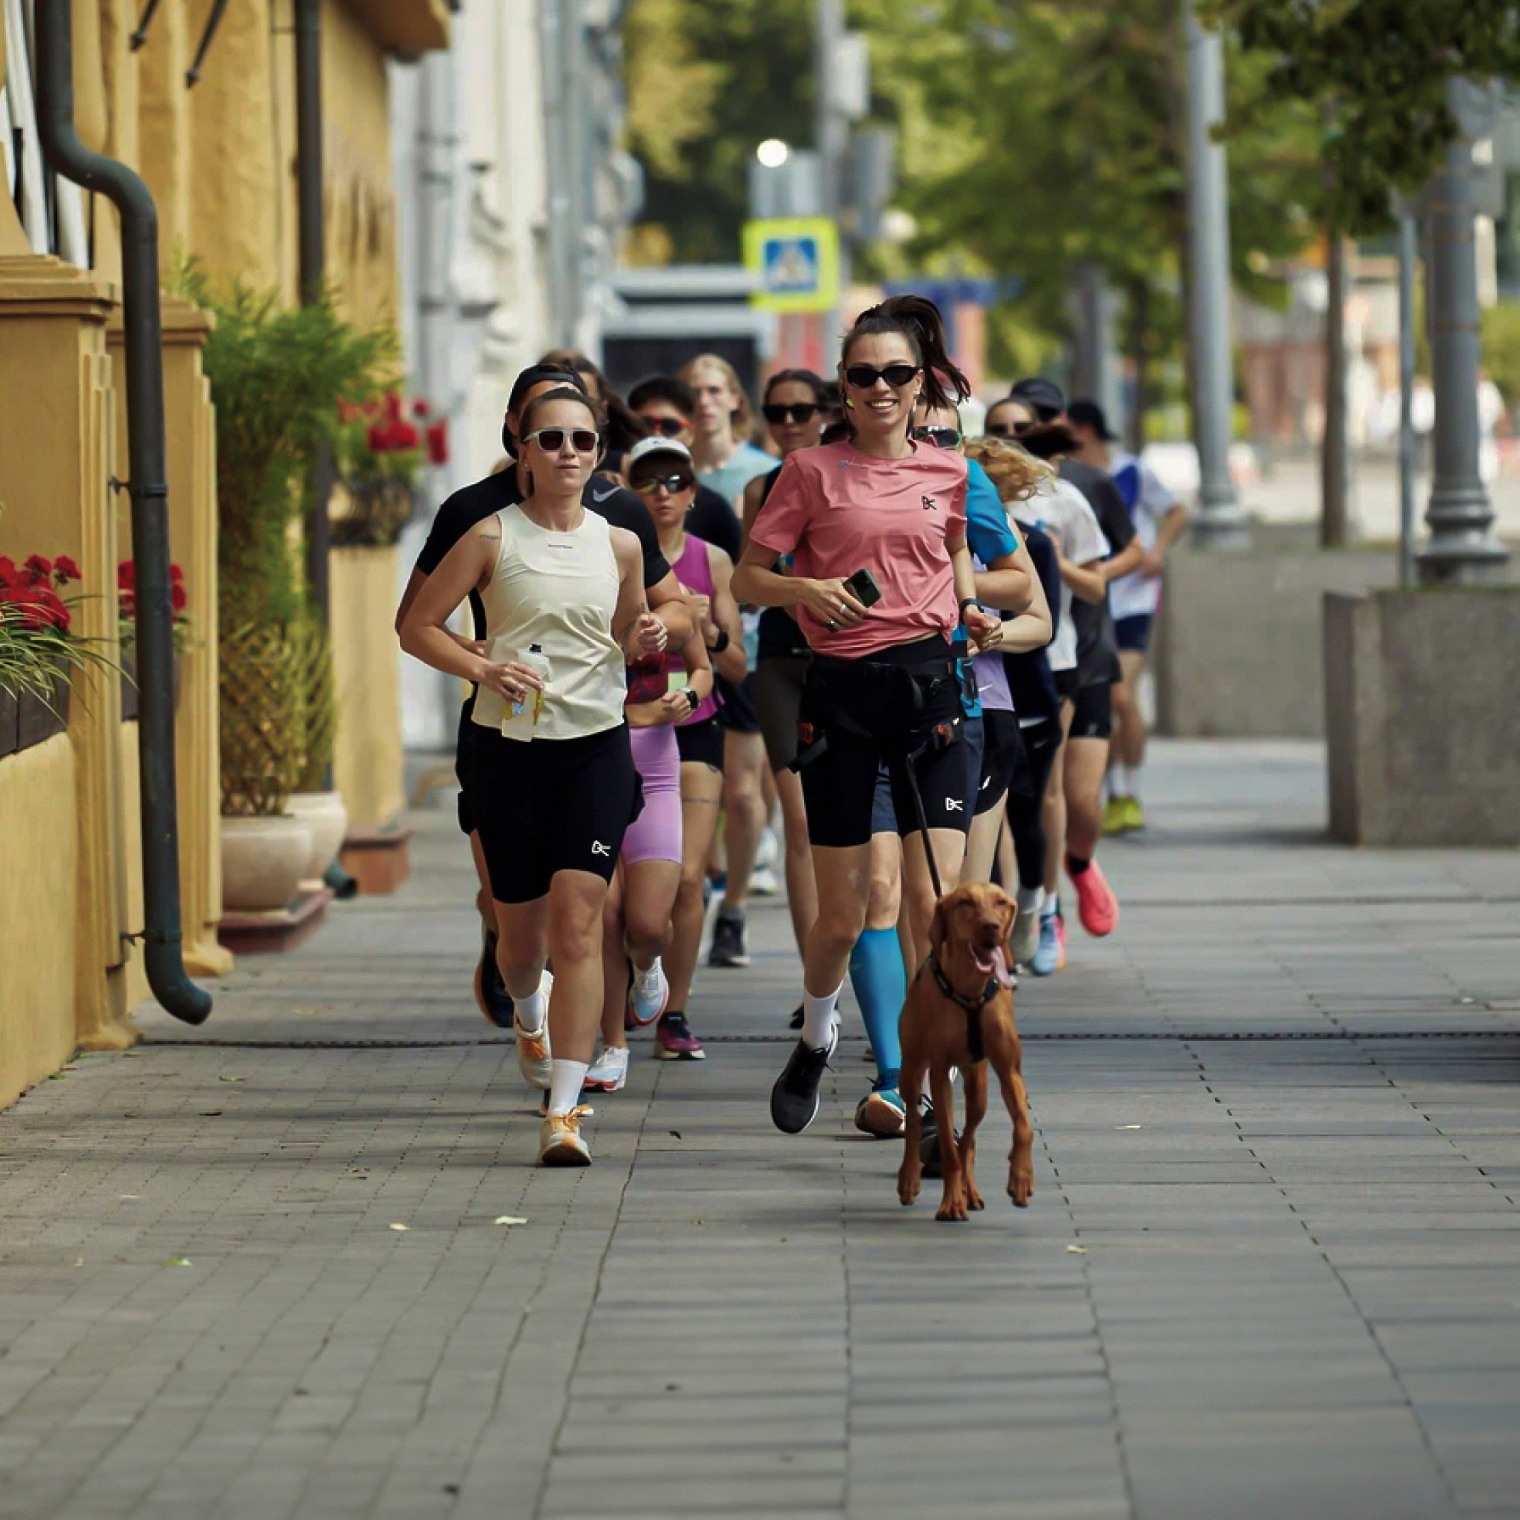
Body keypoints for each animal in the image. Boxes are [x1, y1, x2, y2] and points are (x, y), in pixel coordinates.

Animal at [893, 881, 1039, 1222]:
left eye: (1000, 902)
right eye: (965, 903)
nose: (991, 926)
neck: (972, 990)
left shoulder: (1010, 1071)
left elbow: (1024, 1128)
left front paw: (1021, 1178)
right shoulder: (938, 1074)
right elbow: (947, 1146)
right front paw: (950, 1203)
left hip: (978, 1084)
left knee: (970, 1135)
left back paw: (969, 1191)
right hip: (912, 1068)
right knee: (915, 1122)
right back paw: (910, 1180)